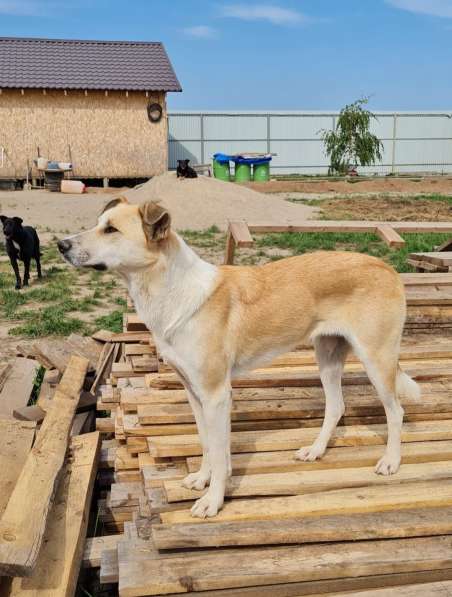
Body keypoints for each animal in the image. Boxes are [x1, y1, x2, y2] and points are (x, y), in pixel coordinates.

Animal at [59, 197, 420, 516]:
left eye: (111, 229)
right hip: (327, 356)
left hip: (376, 359)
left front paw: (213, 501)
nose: (62, 245)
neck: (171, 291)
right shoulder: (194, 393)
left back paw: (391, 461)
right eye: (97, 223)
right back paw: (316, 450)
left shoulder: (216, 394)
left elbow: (220, 453)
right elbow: (207, 443)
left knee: (396, 411)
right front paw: (202, 479)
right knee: (336, 406)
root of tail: (386, 266)